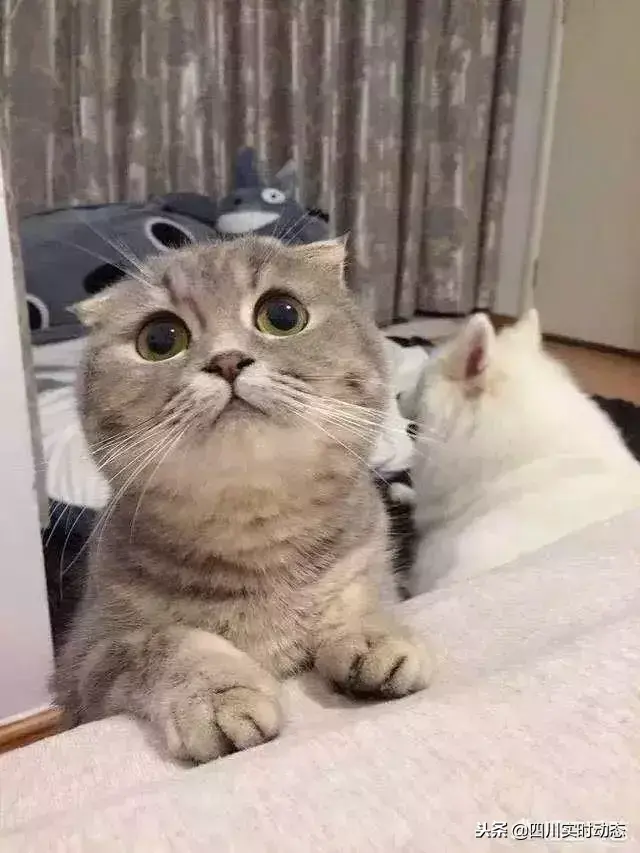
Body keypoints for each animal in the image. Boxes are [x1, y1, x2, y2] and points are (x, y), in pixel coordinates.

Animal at [54, 236, 431, 764]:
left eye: (283, 315)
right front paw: (218, 698)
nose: (227, 360)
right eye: (160, 340)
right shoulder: (89, 660)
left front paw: (373, 635)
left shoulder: (368, 567)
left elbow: (361, 598)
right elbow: (169, 643)